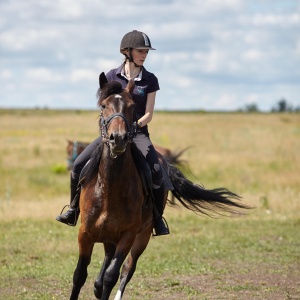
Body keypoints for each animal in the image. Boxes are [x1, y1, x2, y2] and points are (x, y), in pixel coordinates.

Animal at [68, 72, 251, 300]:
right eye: (103, 105)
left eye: (131, 107)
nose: (118, 138)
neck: (110, 187)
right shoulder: (85, 233)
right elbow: (79, 275)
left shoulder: (128, 236)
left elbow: (112, 275)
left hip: (142, 236)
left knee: (127, 269)